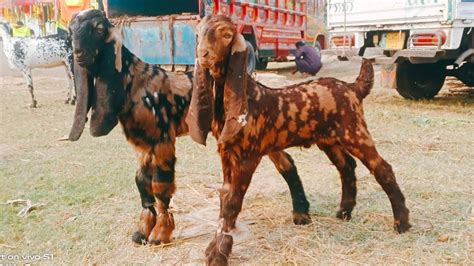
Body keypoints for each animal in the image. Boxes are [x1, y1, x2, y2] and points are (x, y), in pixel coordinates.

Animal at [65, 9, 312, 247]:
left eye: (98, 29)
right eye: (70, 30)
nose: (78, 53)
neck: (136, 84)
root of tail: (259, 85)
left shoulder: (163, 141)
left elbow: (160, 186)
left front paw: (160, 234)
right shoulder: (142, 146)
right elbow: (141, 183)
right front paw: (142, 232)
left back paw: (301, 213)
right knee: (286, 162)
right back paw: (301, 213)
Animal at [186, 15, 412, 266]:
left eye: (227, 35)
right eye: (197, 33)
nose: (203, 54)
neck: (247, 96)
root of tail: (353, 88)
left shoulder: (247, 157)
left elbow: (233, 201)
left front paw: (219, 253)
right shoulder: (226, 153)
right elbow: (225, 196)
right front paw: (213, 248)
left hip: (355, 132)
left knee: (381, 167)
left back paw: (401, 222)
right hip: (329, 141)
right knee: (346, 166)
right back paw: (344, 211)